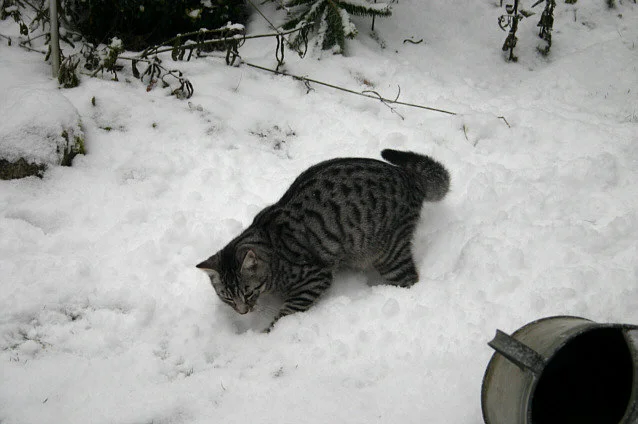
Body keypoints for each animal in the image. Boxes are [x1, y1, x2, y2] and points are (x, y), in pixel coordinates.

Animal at [196, 149, 450, 330]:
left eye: (248, 292)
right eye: (227, 298)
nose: (242, 311)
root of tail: (409, 177)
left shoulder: (314, 278)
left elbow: (286, 313)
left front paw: (269, 333)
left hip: (388, 254)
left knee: (410, 279)